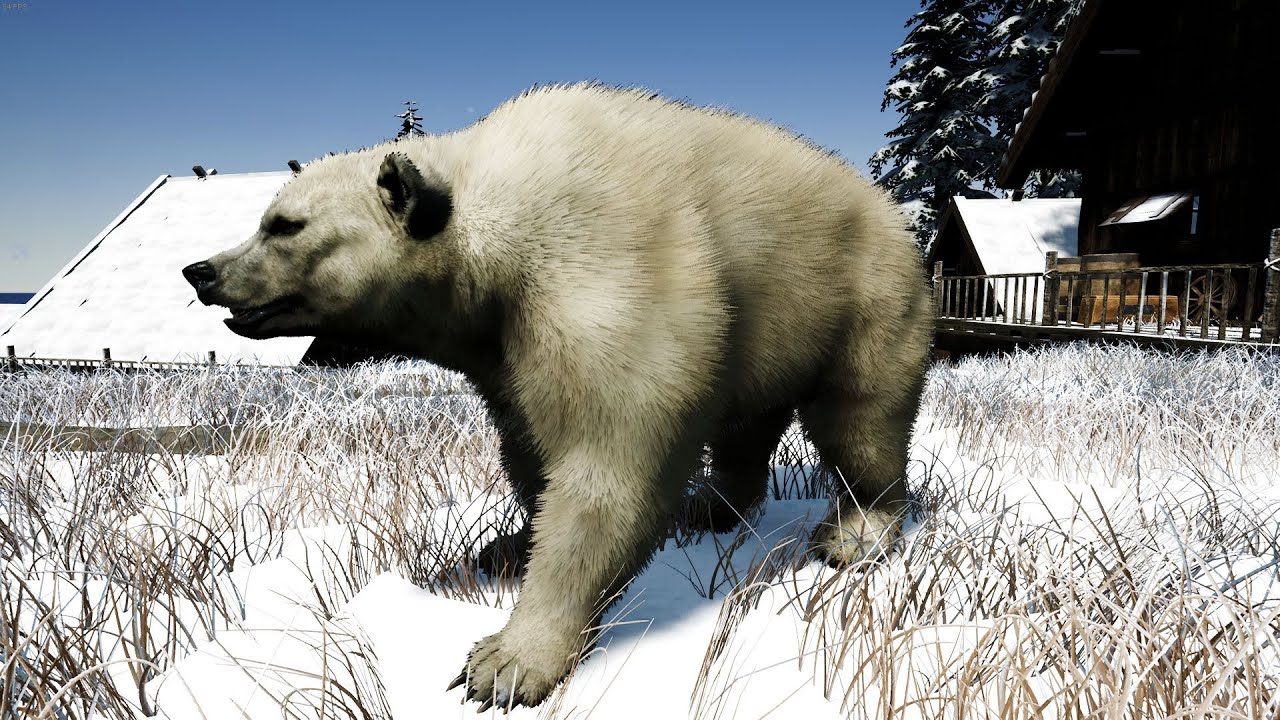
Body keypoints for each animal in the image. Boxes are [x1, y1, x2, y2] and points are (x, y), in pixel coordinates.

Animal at [181, 83, 933, 710]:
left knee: (860, 417)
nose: (200, 270)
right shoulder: (504, 346)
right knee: (745, 426)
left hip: (865, 296)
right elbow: (527, 446)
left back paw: (857, 531)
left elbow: (606, 469)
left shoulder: (606, 280)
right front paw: (506, 546)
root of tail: (893, 214)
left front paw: (505, 664)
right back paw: (712, 507)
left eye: (284, 224)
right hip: (772, 322)